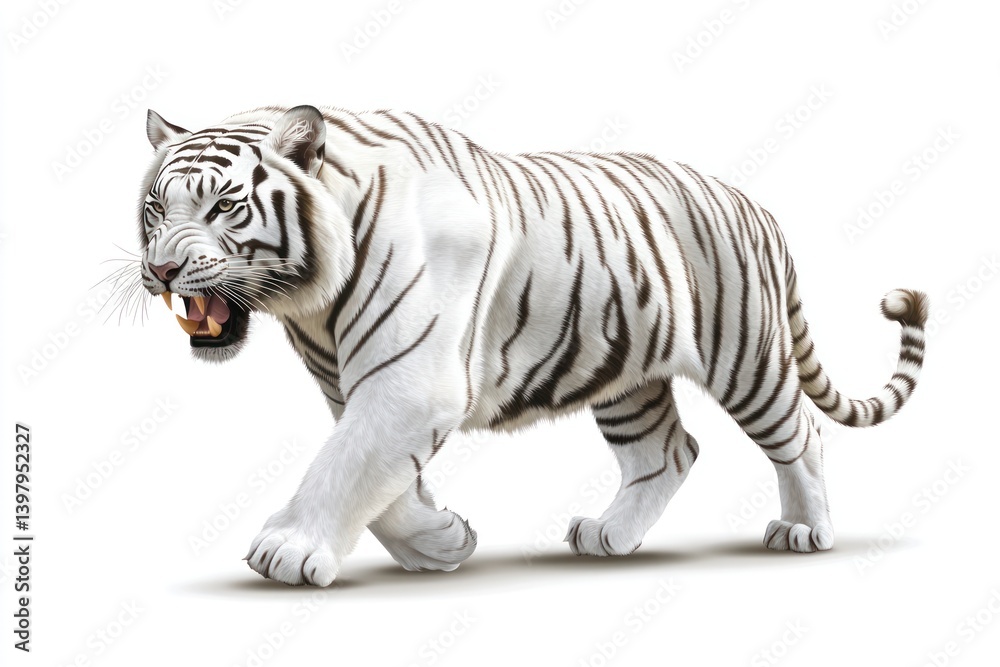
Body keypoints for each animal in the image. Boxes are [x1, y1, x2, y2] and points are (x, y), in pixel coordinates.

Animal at [136, 104, 927, 586]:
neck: (308, 302)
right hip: (626, 375)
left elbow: (344, 465)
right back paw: (610, 535)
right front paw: (442, 541)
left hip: (747, 355)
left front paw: (288, 549)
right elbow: (378, 480)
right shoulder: (357, 387)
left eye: (222, 206)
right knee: (670, 451)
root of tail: (756, 205)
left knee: (802, 433)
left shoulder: (410, 383)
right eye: (154, 209)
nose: (161, 269)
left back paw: (806, 529)